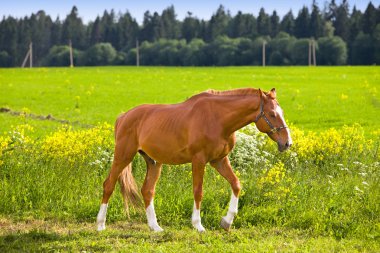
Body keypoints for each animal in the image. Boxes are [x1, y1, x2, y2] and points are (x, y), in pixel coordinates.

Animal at [96, 88, 292, 232]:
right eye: (272, 114)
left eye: (281, 112)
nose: (287, 143)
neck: (218, 119)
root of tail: (123, 116)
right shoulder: (199, 160)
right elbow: (198, 191)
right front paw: (198, 225)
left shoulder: (219, 160)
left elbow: (236, 184)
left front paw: (226, 222)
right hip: (123, 156)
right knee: (109, 185)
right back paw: (100, 225)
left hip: (153, 162)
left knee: (147, 191)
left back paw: (155, 227)